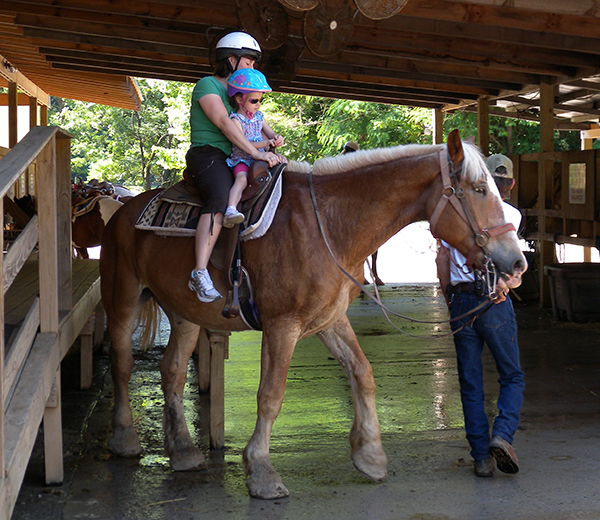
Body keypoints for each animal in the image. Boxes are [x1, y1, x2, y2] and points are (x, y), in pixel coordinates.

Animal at [98, 130, 524, 500]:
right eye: (479, 189)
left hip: (185, 313)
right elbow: (270, 395)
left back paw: (184, 450)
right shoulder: (281, 326)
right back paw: (124, 438)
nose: (516, 262)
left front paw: (370, 454)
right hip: (121, 300)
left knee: (171, 370)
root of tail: (123, 209)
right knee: (121, 363)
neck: (330, 226)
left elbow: (362, 373)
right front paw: (261, 472)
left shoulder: (330, 320)